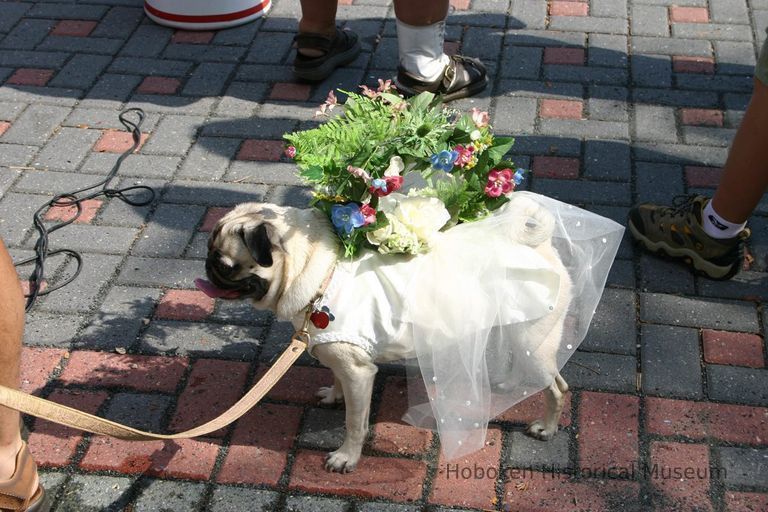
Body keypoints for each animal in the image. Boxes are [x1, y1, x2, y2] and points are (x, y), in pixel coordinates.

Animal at [198, 195, 568, 472]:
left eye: (225, 263)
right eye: (210, 253)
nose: (207, 266)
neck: (320, 275)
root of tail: (539, 247)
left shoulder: (359, 372)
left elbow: (355, 422)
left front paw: (346, 457)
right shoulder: (341, 357)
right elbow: (337, 380)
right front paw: (334, 396)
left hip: (533, 341)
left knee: (556, 388)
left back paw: (547, 427)